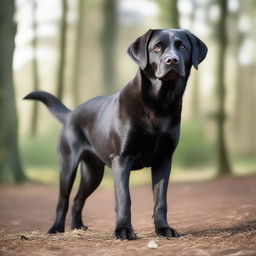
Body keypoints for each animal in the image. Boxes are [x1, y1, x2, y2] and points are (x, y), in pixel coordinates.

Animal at [24, 29, 207, 240]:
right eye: (157, 47)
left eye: (182, 46)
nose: (172, 60)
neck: (159, 103)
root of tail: (70, 114)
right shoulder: (122, 159)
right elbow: (124, 198)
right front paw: (124, 230)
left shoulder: (164, 159)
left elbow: (161, 200)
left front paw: (164, 229)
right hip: (68, 165)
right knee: (63, 199)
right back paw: (56, 229)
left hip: (93, 172)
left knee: (78, 199)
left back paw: (78, 227)